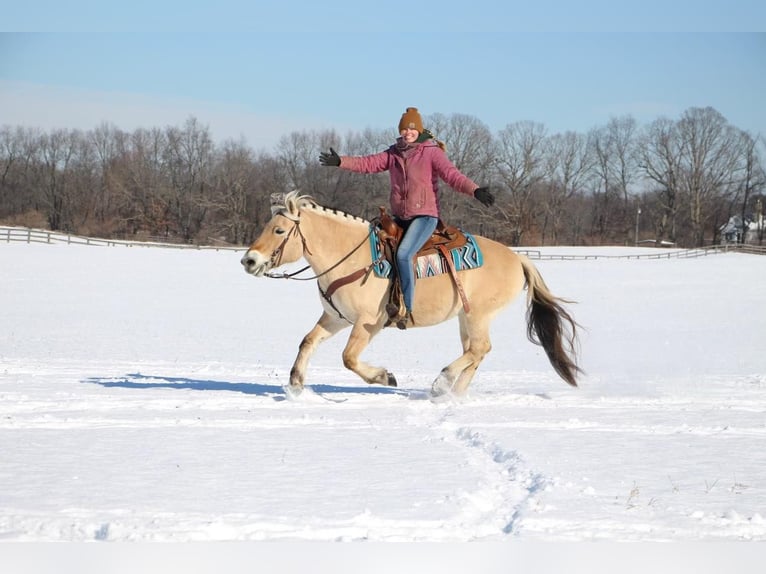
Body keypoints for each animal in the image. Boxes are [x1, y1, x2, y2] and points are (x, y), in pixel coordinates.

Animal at [242, 191, 584, 398]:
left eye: (278, 230)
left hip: (479, 314)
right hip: (466, 317)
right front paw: (295, 385)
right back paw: (452, 394)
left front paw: (385, 377)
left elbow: (349, 358)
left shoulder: (368, 322)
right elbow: (307, 342)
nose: (249, 260)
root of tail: (518, 258)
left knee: (479, 349)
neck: (351, 257)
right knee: (476, 352)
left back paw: (442, 381)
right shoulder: (335, 317)